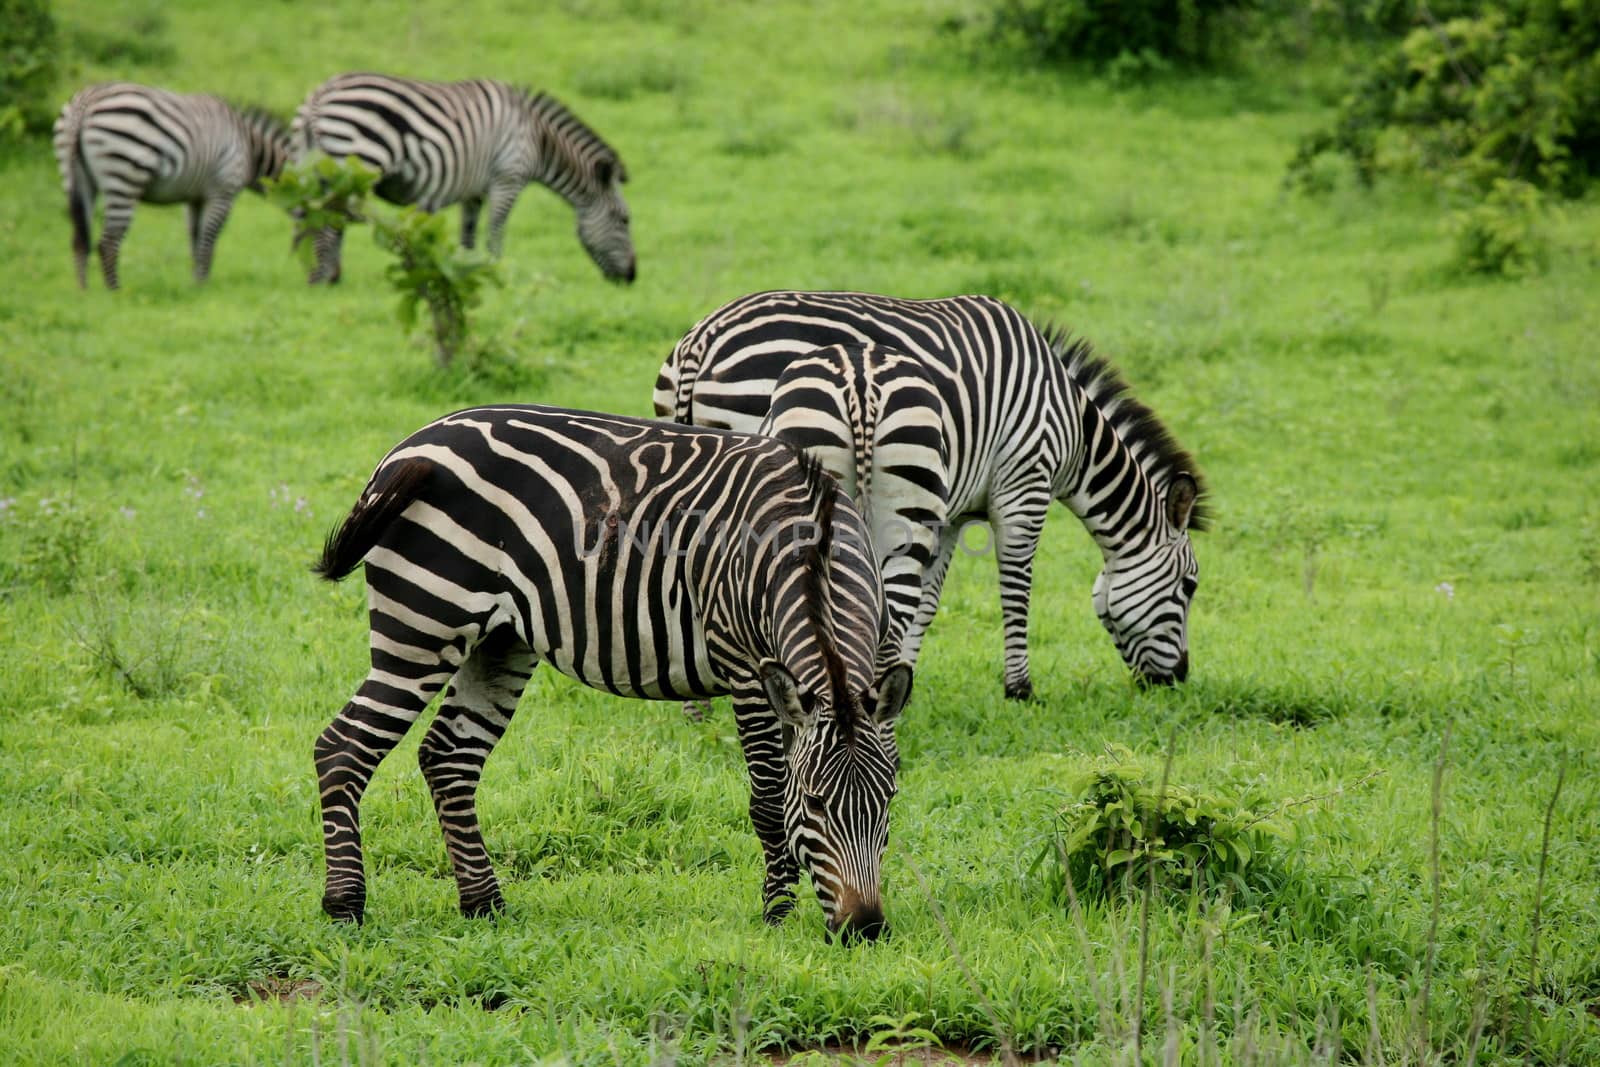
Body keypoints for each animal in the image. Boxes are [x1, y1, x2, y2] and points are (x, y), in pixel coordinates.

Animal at [50, 82, 291, 289]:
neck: (250, 149)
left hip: (77, 178)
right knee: (107, 243)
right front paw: (203, 284)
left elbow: (196, 240)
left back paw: (84, 293)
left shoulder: (195, 197)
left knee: (79, 240)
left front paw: (196, 283)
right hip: (124, 176)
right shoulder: (223, 192)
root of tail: (85, 104)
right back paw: (115, 292)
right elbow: (208, 240)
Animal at [291, 73, 633, 286]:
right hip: (357, 159)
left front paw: (467, 270)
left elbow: (468, 233)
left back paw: (313, 270)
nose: (632, 278)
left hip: (308, 166)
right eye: (624, 220)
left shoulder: (474, 191)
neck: (539, 139)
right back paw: (326, 277)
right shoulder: (508, 177)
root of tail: (318, 98)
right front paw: (497, 271)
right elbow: (496, 230)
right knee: (330, 221)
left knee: (308, 218)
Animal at [313, 404, 915, 940]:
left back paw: (484, 906)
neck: (809, 549)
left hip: (501, 641)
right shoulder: (747, 672)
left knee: (448, 757)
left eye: (888, 800)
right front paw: (777, 915)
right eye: (814, 803)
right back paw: (345, 906)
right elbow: (768, 799)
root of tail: (410, 446)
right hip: (424, 620)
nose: (865, 929)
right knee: (342, 747)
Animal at [656, 289, 1203, 700]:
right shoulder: (1024, 482)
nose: (1177, 680)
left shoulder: (952, 510)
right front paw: (1019, 688)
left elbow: (928, 599)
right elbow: (1017, 586)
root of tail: (703, 339)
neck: (1073, 428)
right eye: (1189, 587)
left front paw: (903, 676)